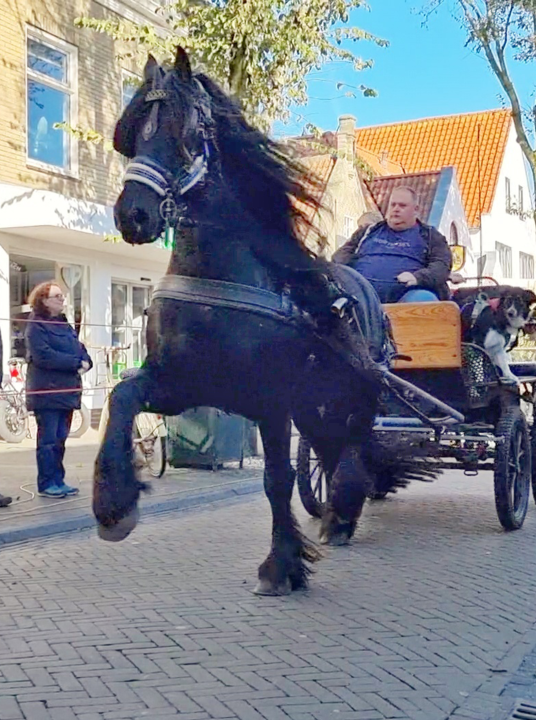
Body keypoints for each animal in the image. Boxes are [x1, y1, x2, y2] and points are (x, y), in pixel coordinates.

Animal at [95, 46, 422, 596]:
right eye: (133, 132)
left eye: (186, 131)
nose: (132, 214)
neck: (216, 276)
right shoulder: (181, 384)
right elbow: (121, 396)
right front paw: (114, 505)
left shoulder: (272, 401)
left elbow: (276, 479)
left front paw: (282, 565)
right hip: (317, 405)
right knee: (331, 451)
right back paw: (335, 515)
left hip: (353, 397)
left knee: (353, 449)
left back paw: (341, 517)